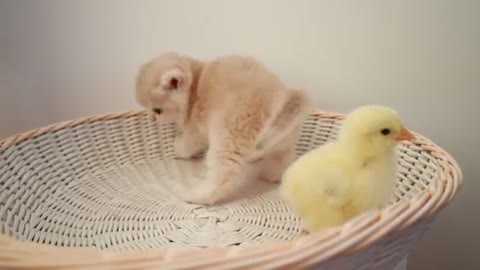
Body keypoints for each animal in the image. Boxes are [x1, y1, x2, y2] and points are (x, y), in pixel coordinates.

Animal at [135, 52, 312, 205]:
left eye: (158, 110)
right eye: (148, 109)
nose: (152, 118)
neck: (195, 86)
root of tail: (279, 98)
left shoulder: (195, 131)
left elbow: (186, 147)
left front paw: (177, 147)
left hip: (230, 137)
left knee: (224, 175)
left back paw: (197, 196)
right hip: (283, 140)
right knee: (282, 157)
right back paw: (272, 175)